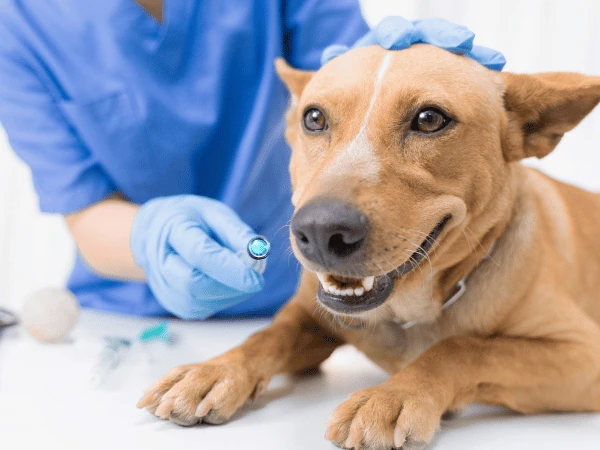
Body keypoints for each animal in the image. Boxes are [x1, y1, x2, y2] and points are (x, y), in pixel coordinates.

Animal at [136, 43, 600, 450]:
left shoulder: (583, 355)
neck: (411, 311)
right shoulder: (311, 317)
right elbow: (267, 335)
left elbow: (461, 347)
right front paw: (216, 370)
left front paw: (392, 396)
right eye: (314, 117)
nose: (321, 232)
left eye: (429, 119)